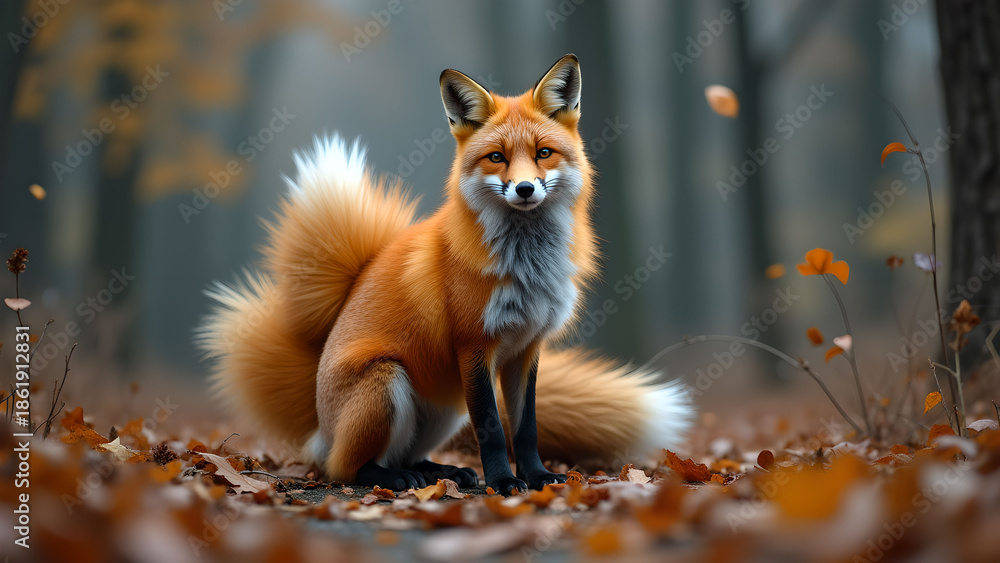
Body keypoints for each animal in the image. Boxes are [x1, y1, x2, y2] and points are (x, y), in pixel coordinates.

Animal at [199, 54, 694, 495]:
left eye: (543, 153)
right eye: (496, 158)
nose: (525, 188)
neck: (527, 266)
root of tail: (318, 423)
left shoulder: (526, 349)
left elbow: (526, 428)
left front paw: (536, 477)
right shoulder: (474, 345)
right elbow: (493, 428)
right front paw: (504, 483)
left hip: (444, 407)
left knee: (404, 454)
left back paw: (439, 472)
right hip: (387, 383)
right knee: (347, 468)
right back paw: (394, 479)